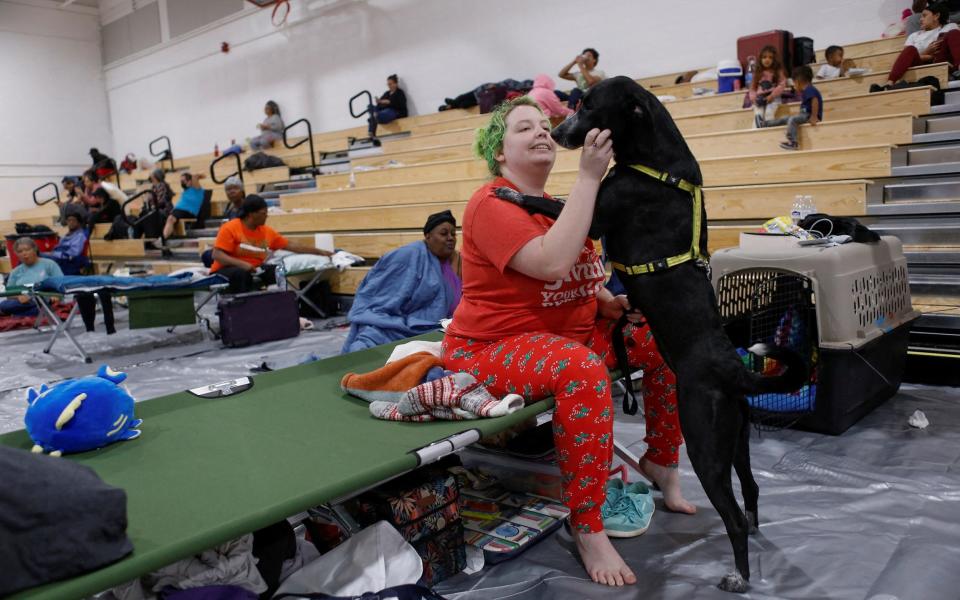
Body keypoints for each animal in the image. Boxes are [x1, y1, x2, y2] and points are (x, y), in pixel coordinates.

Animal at [512, 74, 808, 592]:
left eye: (587, 105)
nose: (559, 133)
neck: (655, 158)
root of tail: (734, 369)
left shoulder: (593, 218)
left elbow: (547, 201)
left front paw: (507, 196)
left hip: (706, 443)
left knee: (732, 515)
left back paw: (739, 576)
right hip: (737, 440)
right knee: (751, 488)